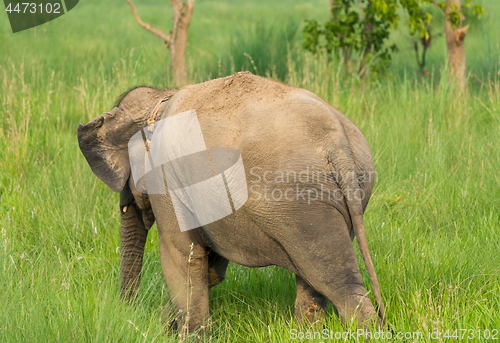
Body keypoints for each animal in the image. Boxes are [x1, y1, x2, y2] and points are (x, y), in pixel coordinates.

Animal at [77, 71, 386, 338]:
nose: (127, 314)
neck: (160, 97)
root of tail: (338, 142)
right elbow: (210, 267)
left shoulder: (168, 181)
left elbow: (183, 257)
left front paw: (189, 336)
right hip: (343, 196)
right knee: (313, 276)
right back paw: (305, 334)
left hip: (301, 202)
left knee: (337, 283)